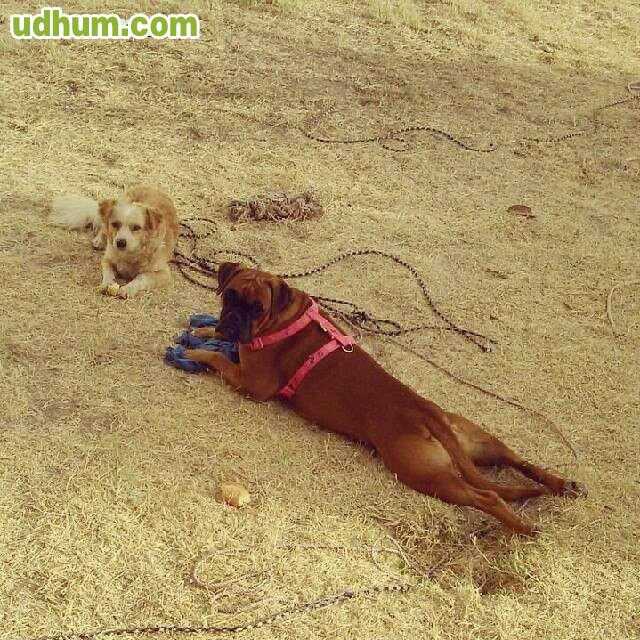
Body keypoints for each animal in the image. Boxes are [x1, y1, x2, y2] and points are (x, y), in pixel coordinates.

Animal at [50, 185, 179, 298]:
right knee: (103, 227)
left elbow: (142, 277)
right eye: (115, 224)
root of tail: (151, 187)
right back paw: (99, 241)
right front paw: (107, 283)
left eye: (136, 227)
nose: (120, 242)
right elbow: (108, 273)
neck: (131, 253)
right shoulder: (107, 259)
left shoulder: (164, 273)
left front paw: (128, 288)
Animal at [183, 263, 586, 535]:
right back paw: (553, 487)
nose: (233, 319)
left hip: (427, 476)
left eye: (257, 308)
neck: (284, 317)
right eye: (230, 296)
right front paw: (203, 332)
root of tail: (424, 411)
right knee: (516, 465)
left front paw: (194, 353)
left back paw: (522, 528)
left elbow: (221, 359)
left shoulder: (253, 383)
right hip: (477, 443)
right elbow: (219, 342)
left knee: (486, 496)